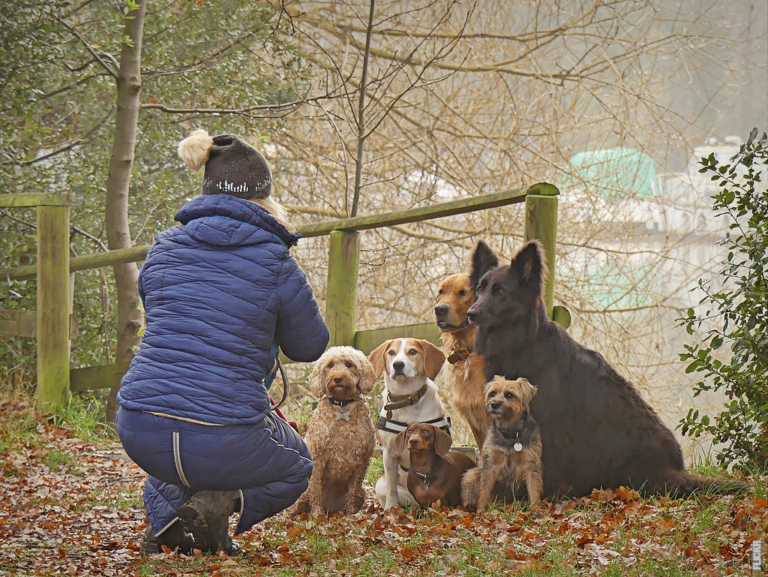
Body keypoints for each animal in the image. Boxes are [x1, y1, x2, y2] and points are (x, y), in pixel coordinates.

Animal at [460, 376, 544, 510]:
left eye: (509, 395)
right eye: (492, 393)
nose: (494, 404)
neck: (510, 431)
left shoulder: (530, 464)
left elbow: (533, 489)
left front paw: (536, 511)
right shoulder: (490, 463)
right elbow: (484, 491)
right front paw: (481, 511)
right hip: (471, 474)